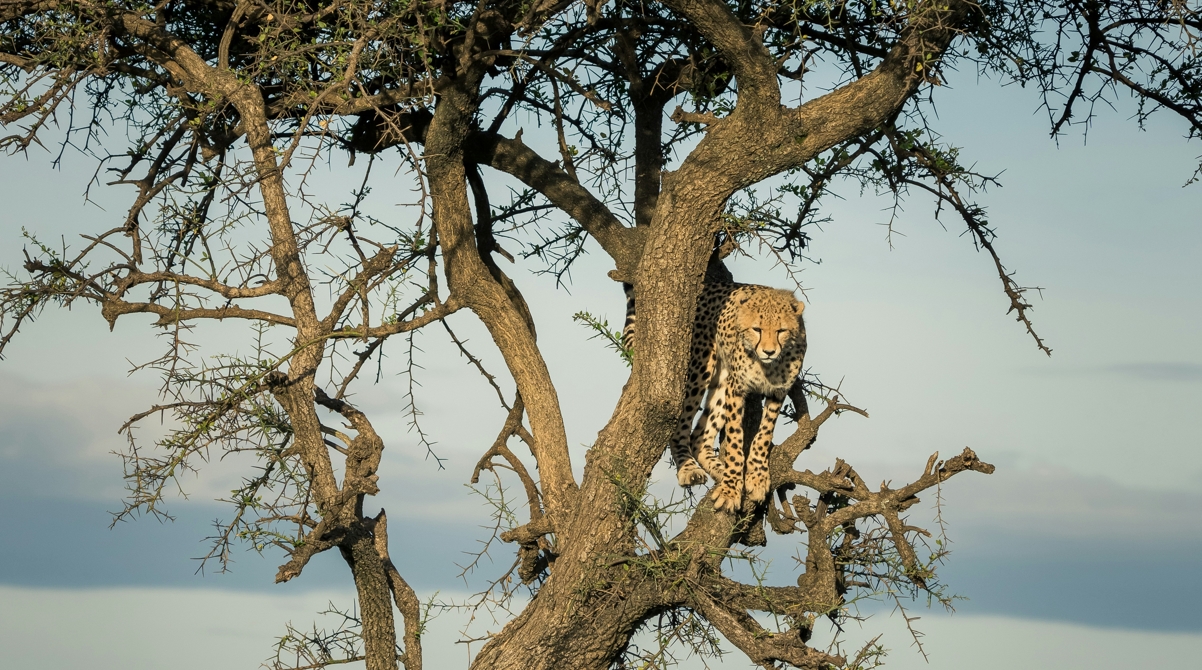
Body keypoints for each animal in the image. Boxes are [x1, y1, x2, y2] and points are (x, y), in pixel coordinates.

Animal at [620, 279, 807, 510]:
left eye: (781, 330)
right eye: (757, 329)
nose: (769, 351)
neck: (768, 366)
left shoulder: (777, 392)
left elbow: (764, 435)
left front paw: (756, 477)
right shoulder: (736, 389)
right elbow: (735, 440)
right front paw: (730, 489)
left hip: (722, 380)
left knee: (699, 436)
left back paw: (720, 469)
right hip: (699, 369)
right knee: (681, 427)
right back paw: (691, 469)